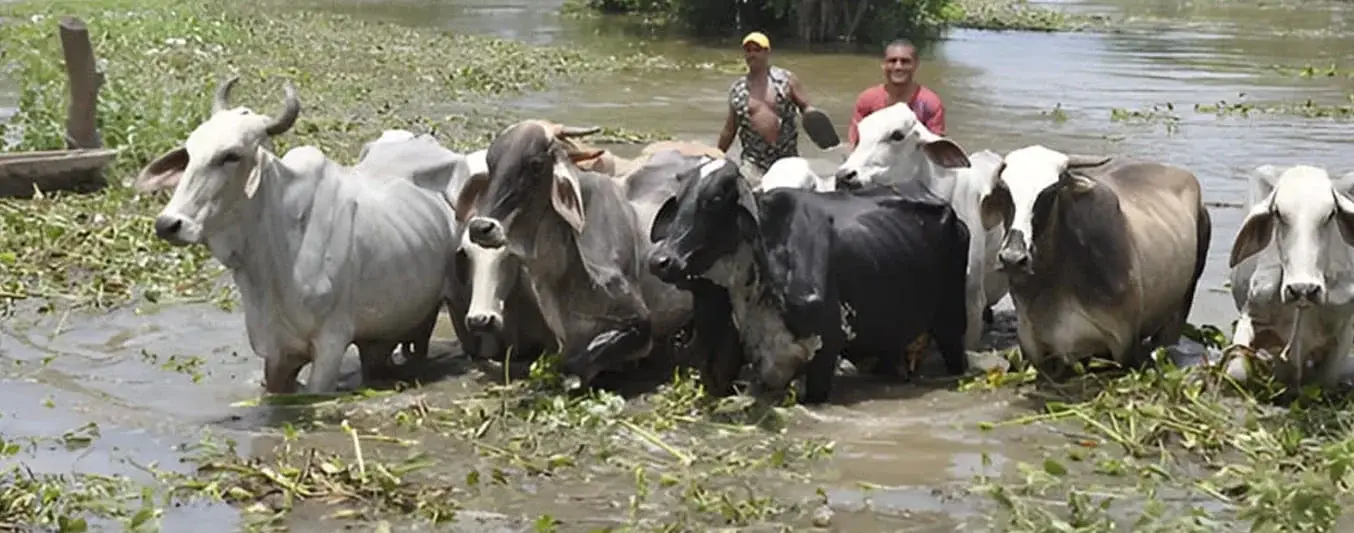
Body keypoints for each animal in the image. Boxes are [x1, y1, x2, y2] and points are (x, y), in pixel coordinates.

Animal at [980, 142, 1213, 376]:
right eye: (1005, 190)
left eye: (1051, 191)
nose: (1012, 257)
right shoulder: (1032, 345)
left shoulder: (1125, 343)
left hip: (1182, 303)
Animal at [1224, 164, 1354, 389]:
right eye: (1278, 213)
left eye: (1331, 214)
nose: (1303, 289)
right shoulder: (1252, 313)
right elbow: (1237, 372)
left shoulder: (1344, 328)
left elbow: (1327, 380)